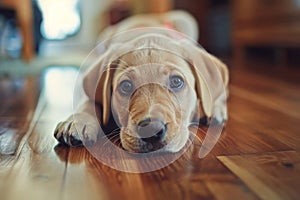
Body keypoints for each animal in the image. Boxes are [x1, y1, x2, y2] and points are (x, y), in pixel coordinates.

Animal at [54, 10, 229, 153]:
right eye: (126, 86)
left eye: (176, 82)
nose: (151, 129)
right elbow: (89, 100)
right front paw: (77, 120)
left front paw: (213, 107)